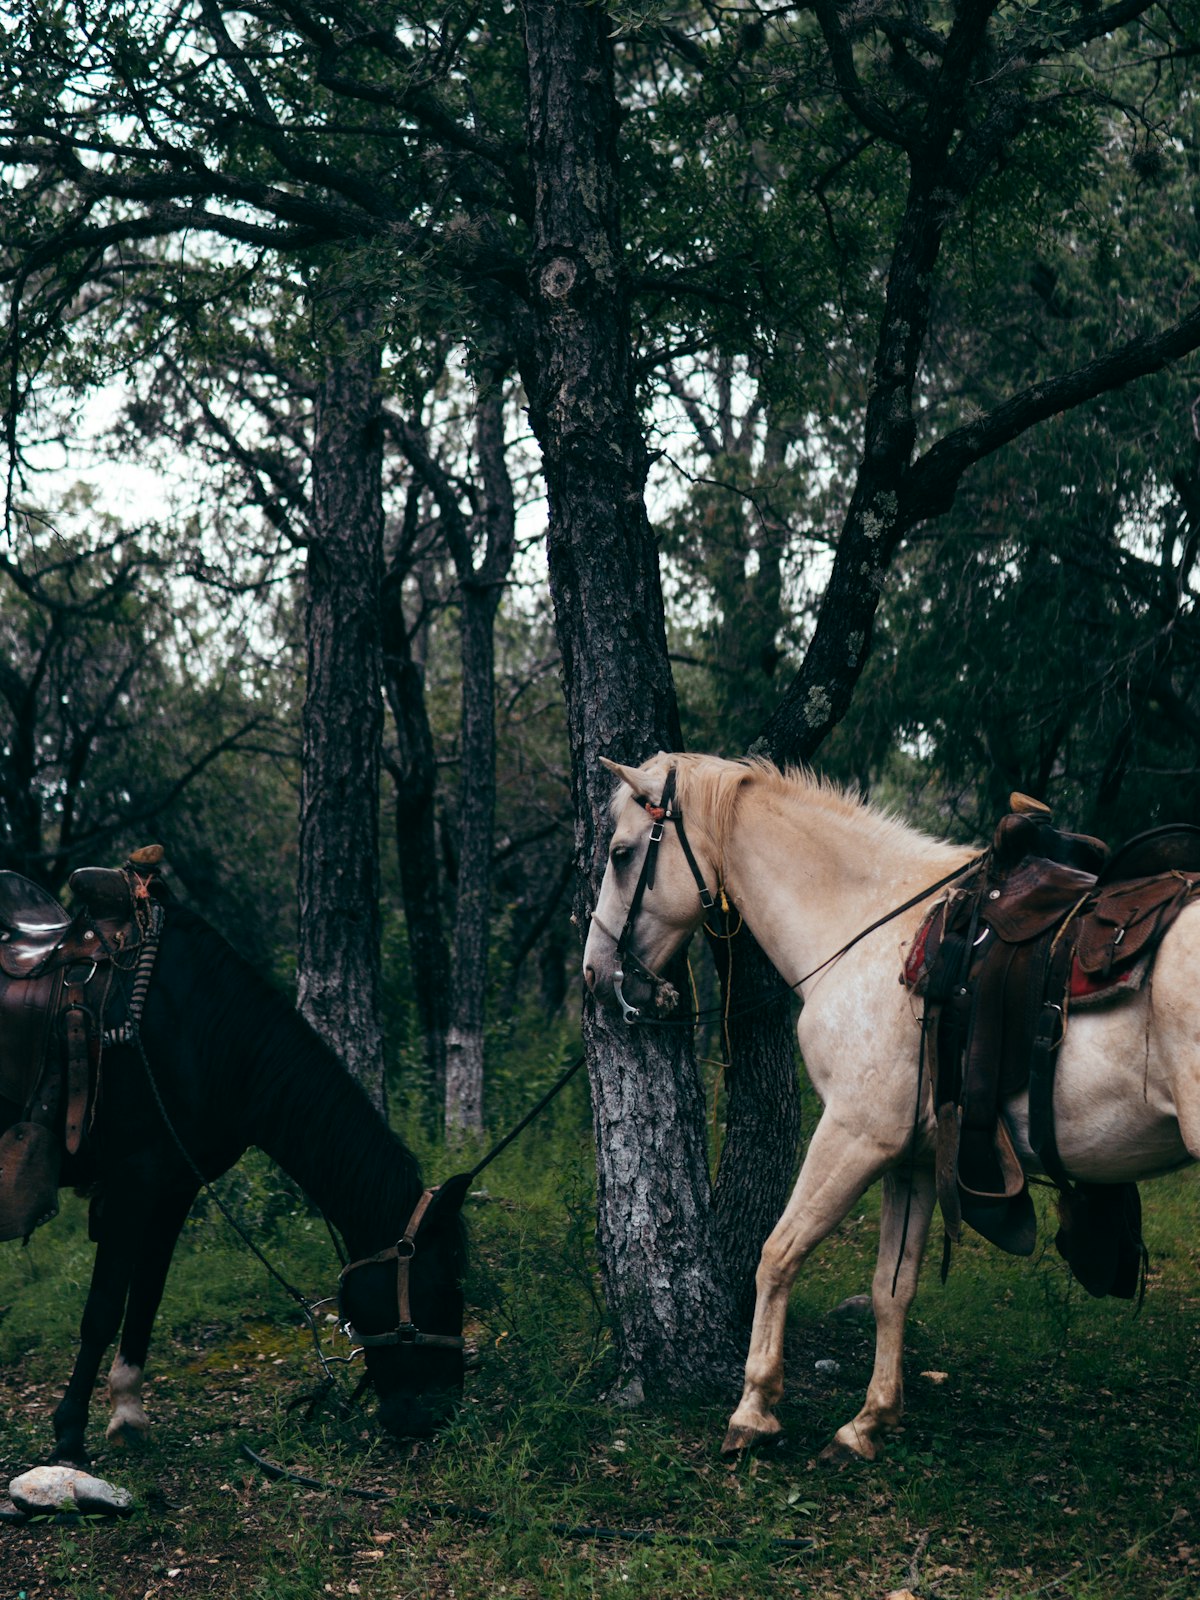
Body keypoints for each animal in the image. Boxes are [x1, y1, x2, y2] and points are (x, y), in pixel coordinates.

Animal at [1, 900, 466, 1467]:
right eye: (442, 1285)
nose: (440, 1413)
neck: (201, 1034)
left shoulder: (173, 1185)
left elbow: (146, 1297)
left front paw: (128, 1416)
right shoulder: (133, 1181)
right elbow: (103, 1311)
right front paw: (69, 1435)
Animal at [582, 752, 1200, 1463]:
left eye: (622, 854)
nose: (594, 974)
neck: (868, 924)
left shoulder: (856, 1134)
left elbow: (778, 1253)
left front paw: (754, 1409)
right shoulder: (915, 1158)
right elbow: (891, 1288)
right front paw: (868, 1423)